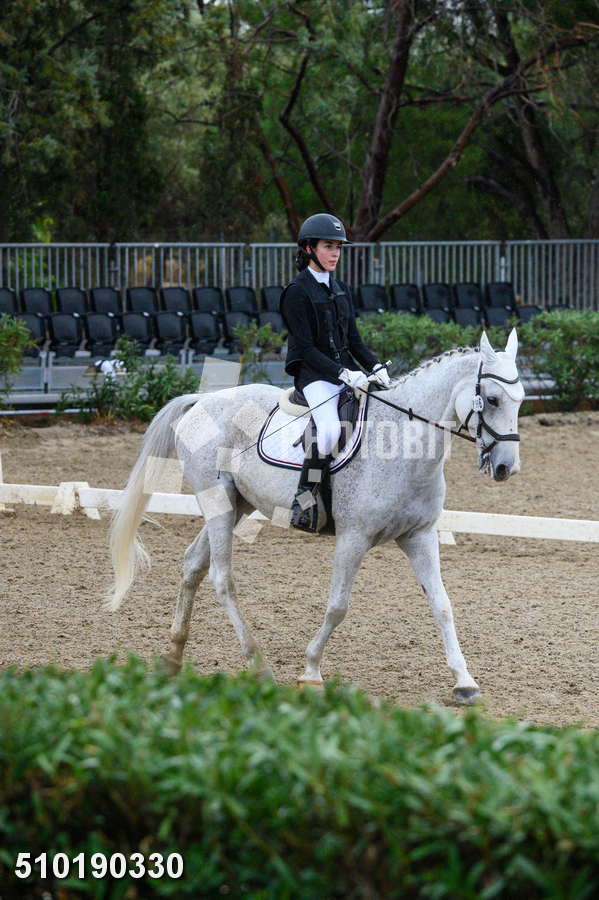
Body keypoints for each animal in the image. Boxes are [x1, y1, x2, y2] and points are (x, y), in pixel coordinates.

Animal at [106, 329, 524, 704]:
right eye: (491, 399)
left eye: (520, 400)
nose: (507, 468)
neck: (404, 445)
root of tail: (202, 401)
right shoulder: (353, 537)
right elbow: (338, 606)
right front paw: (310, 672)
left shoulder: (419, 536)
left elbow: (442, 604)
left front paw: (465, 682)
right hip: (217, 500)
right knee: (222, 579)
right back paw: (258, 665)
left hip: (235, 504)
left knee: (193, 563)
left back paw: (173, 657)